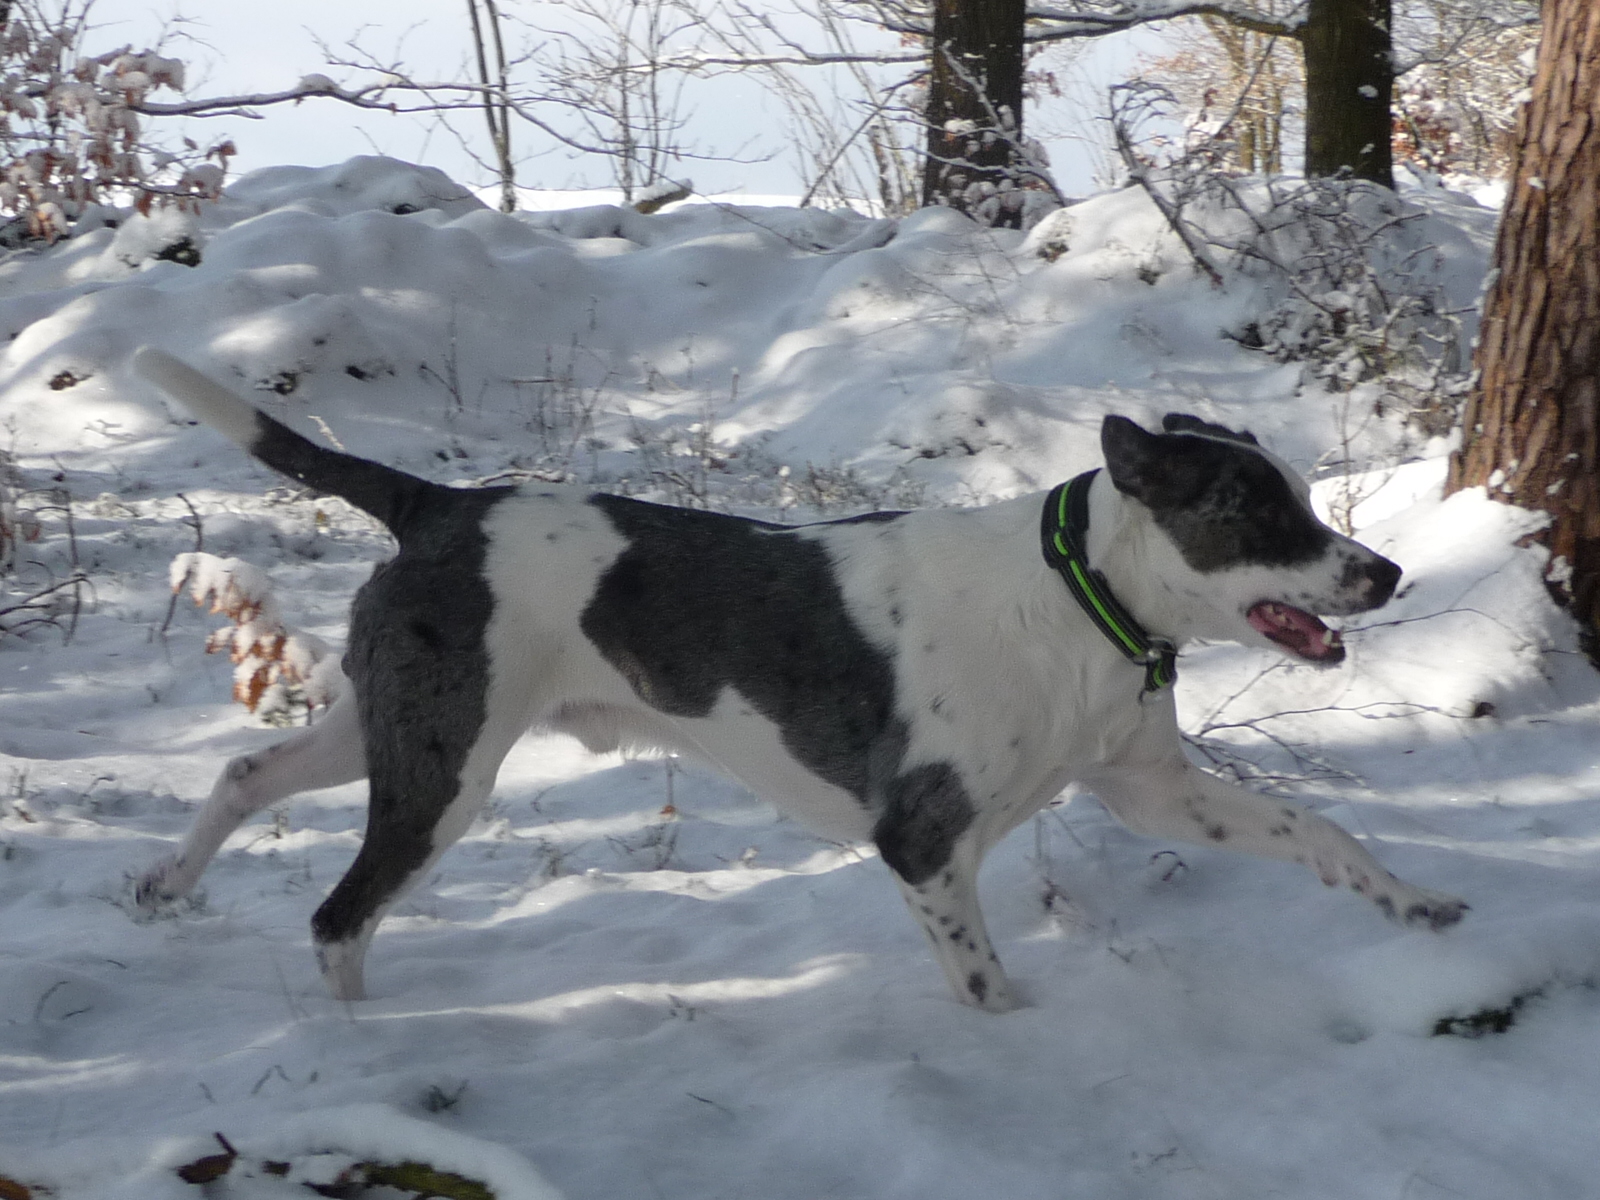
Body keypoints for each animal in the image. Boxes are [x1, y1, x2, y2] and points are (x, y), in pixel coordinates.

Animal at [134, 350, 1465, 1017]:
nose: (1387, 570)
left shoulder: (1148, 788)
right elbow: (986, 987)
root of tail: (439, 506)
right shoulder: (923, 846)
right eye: (1251, 509)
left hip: (393, 732)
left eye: (1299, 499)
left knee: (245, 771)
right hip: (443, 770)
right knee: (337, 913)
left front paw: (1412, 906)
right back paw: (367, 1047)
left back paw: (165, 886)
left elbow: (1315, 830)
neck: (1079, 600)